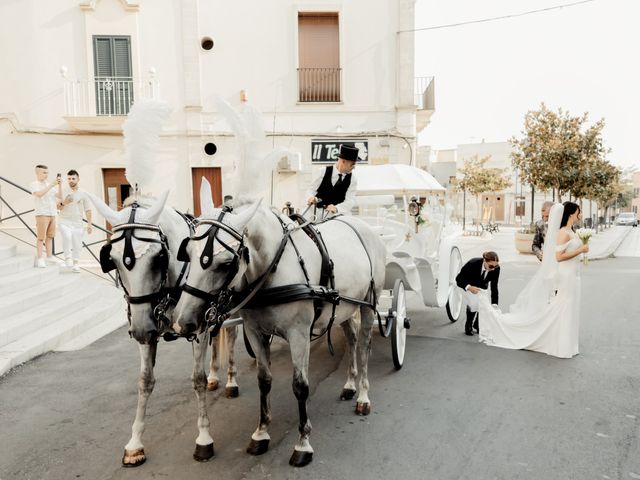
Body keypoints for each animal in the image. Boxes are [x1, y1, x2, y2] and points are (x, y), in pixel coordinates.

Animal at [88, 191, 240, 464]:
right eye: (112, 259)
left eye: (158, 257)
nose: (138, 330)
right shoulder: (149, 331)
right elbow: (145, 381)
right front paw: (135, 443)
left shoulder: (197, 328)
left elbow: (197, 379)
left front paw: (204, 438)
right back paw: (215, 375)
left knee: (231, 335)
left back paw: (232, 381)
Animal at [170, 197, 388, 466]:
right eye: (187, 254)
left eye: (225, 264)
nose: (182, 323)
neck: (273, 269)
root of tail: (363, 225)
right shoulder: (255, 332)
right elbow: (264, 381)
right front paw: (261, 433)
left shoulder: (299, 335)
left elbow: (300, 386)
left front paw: (303, 443)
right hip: (345, 307)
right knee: (352, 337)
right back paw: (349, 385)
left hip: (369, 303)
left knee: (365, 345)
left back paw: (363, 397)